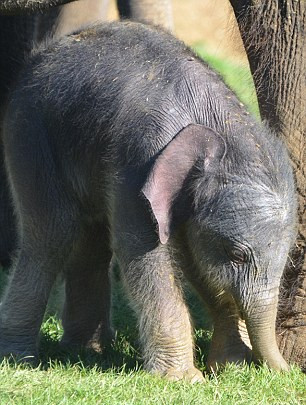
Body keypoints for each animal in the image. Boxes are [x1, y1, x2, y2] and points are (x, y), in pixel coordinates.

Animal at [0, 20, 296, 380]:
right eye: (238, 255)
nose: (289, 372)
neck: (218, 127)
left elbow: (199, 263)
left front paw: (230, 370)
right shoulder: (140, 158)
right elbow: (144, 255)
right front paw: (186, 380)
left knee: (91, 240)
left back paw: (86, 351)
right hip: (29, 131)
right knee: (52, 235)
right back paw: (20, 360)